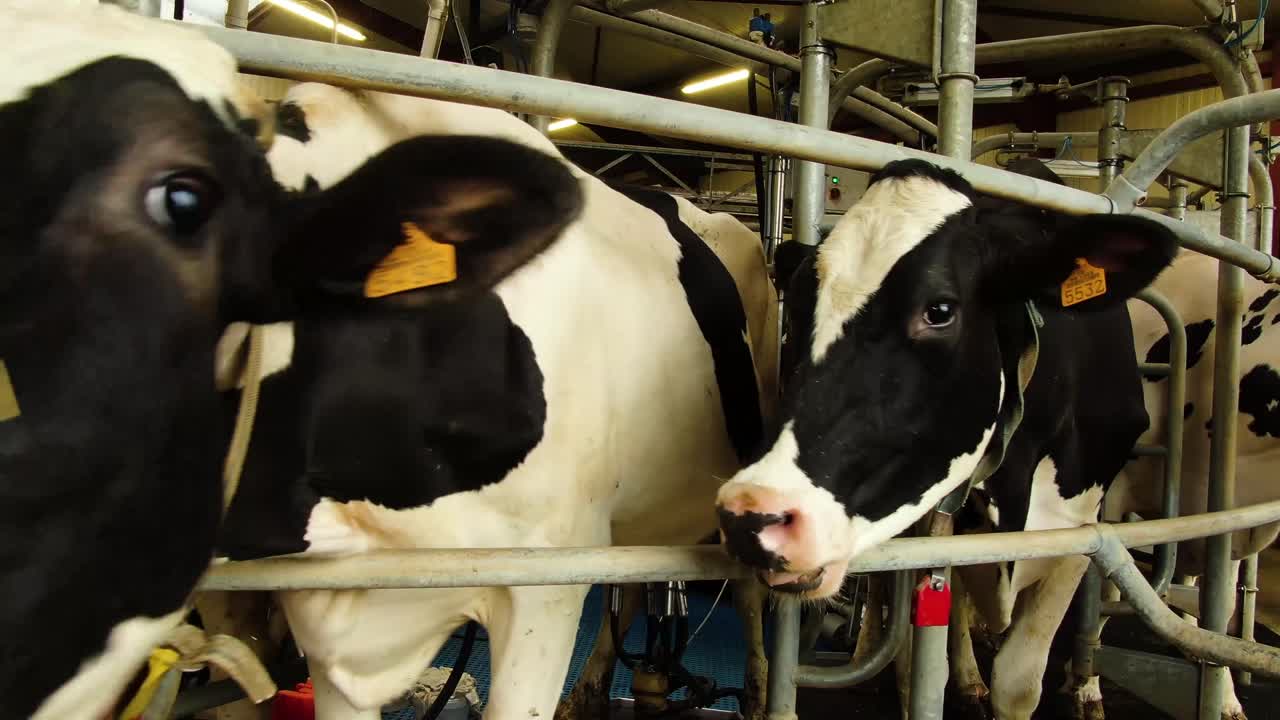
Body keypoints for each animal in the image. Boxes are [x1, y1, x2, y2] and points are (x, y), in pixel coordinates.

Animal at [715, 158, 1177, 720]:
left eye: (939, 310)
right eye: (800, 308)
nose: (751, 514)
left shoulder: (1080, 531)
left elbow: (1018, 681)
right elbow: (921, 656)